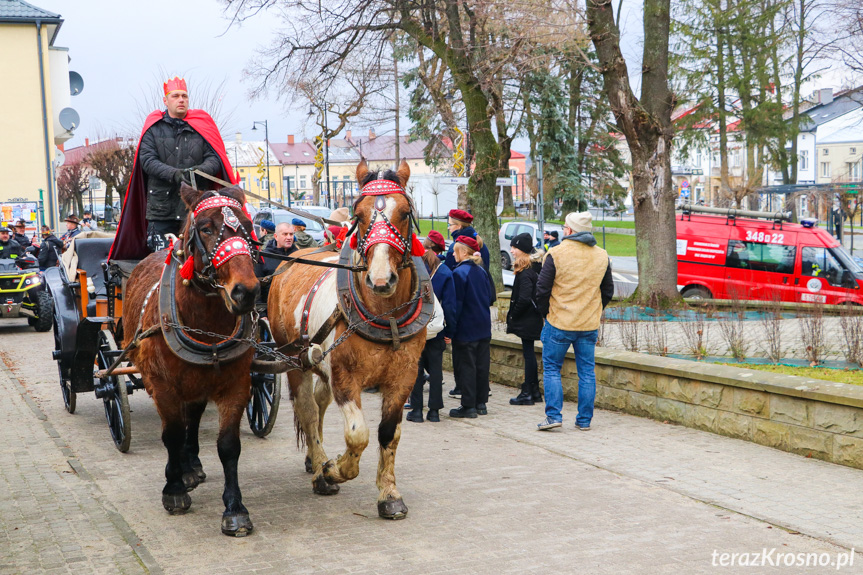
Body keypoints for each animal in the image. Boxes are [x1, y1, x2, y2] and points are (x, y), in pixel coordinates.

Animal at [122, 183, 260, 536]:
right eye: (206, 228)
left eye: (248, 227)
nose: (246, 292)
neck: (206, 325)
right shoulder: (162, 385)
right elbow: (171, 434)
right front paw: (173, 490)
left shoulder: (236, 385)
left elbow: (228, 445)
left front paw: (235, 508)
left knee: (193, 418)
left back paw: (191, 464)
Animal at [266, 160, 428, 520]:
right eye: (359, 213)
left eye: (405, 212)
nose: (381, 279)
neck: (385, 314)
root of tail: (291, 258)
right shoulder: (345, 378)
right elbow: (358, 435)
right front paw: (333, 470)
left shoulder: (404, 377)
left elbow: (388, 433)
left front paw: (389, 493)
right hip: (293, 359)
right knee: (308, 408)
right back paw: (319, 469)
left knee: (319, 402)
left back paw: (315, 458)